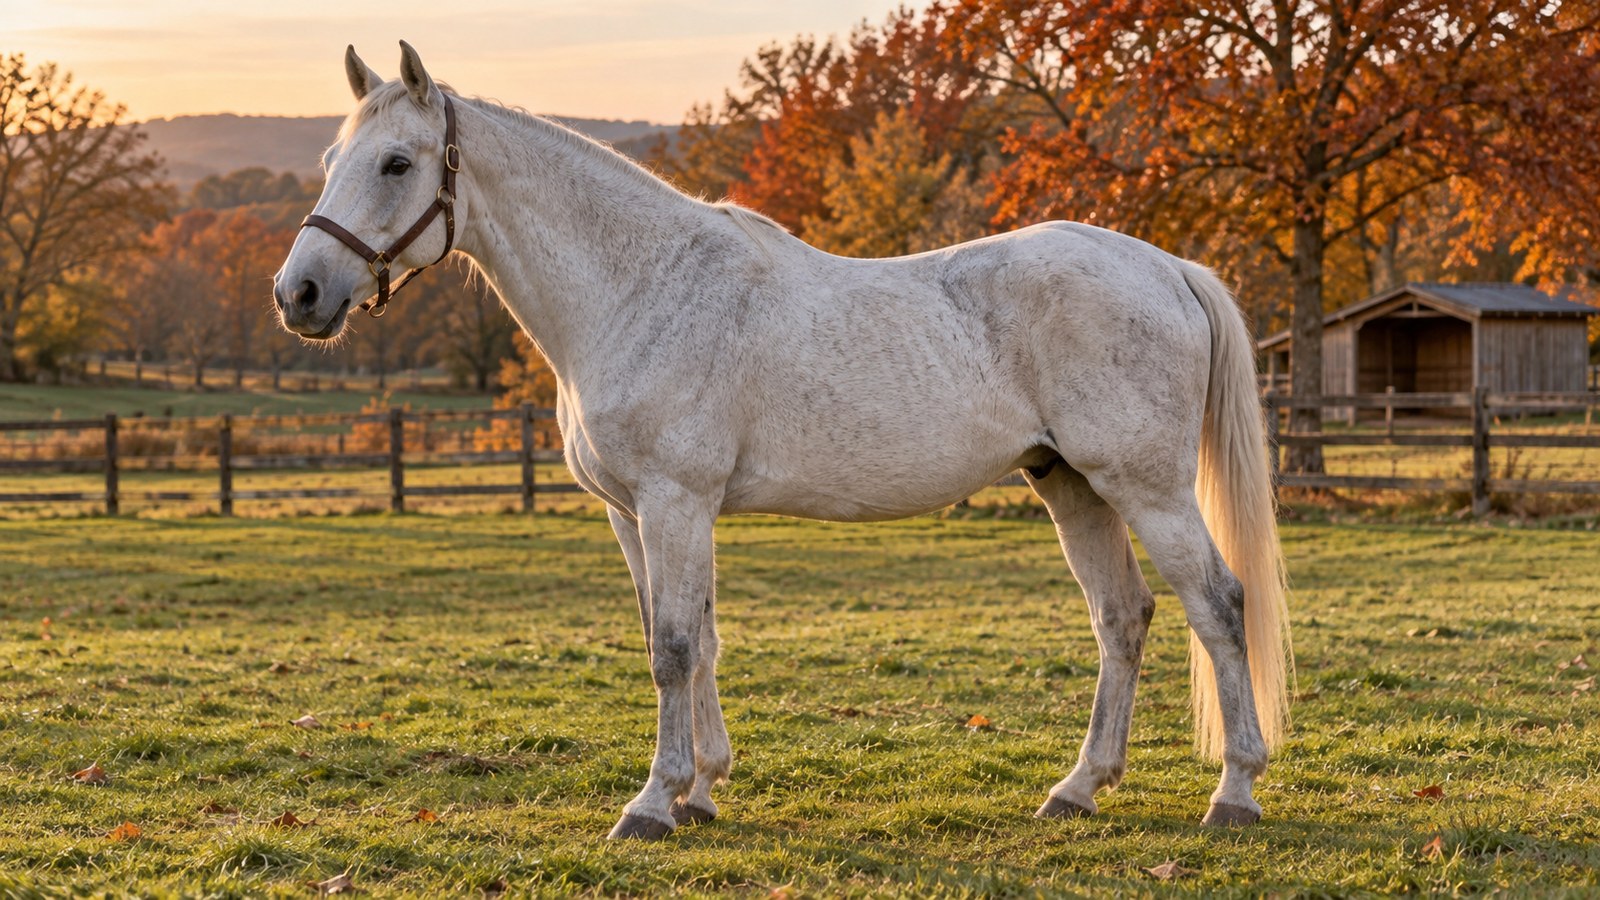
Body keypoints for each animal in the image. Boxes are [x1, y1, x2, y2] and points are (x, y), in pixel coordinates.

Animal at [274, 41, 1292, 840]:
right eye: (331, 157)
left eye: (396, 164)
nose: (300, 294)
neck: (639, 286)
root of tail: (1166, 266)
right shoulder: (634, 515)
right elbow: (690, 637)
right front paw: (703, 790)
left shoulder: (675, 501)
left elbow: (674, 646)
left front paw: (652, 803)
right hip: (1070, 483)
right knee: (1122, 618)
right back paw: (1078, 789)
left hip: (1147, 487)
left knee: (1218, 605)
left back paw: (1234, 793)